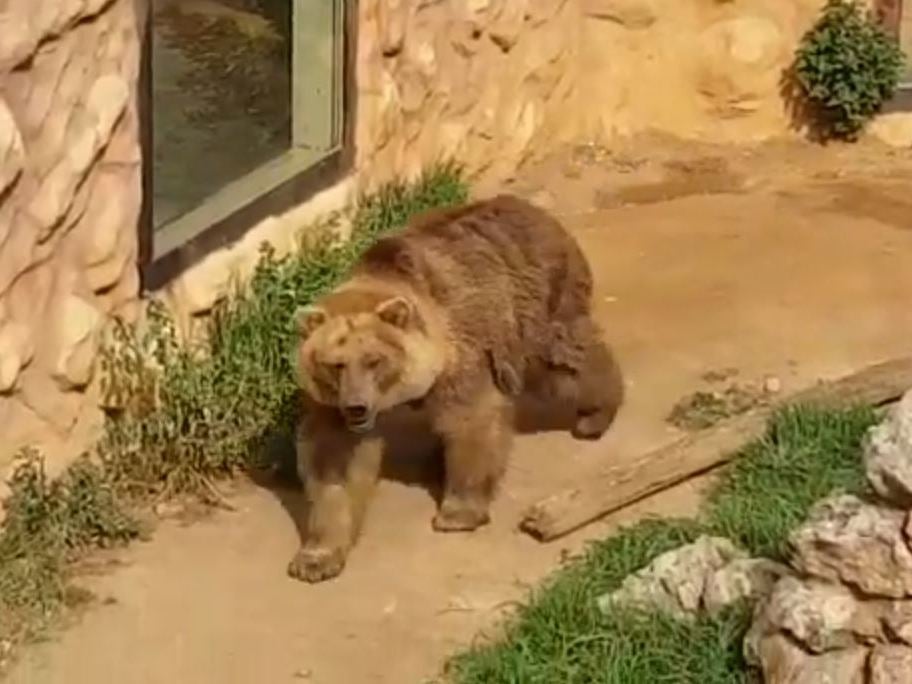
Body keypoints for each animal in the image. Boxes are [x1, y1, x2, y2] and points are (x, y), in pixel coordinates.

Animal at [288, 192, 624, 584]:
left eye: (374, 359)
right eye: (335, 364)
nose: (356, 407)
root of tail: (535, 209)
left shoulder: (460, 350)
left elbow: (471, 421)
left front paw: (457, 512)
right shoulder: (330, 405)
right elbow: (334, 463)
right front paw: (316, 557)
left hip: (535, 306)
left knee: (564, 361)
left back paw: (595, 415)